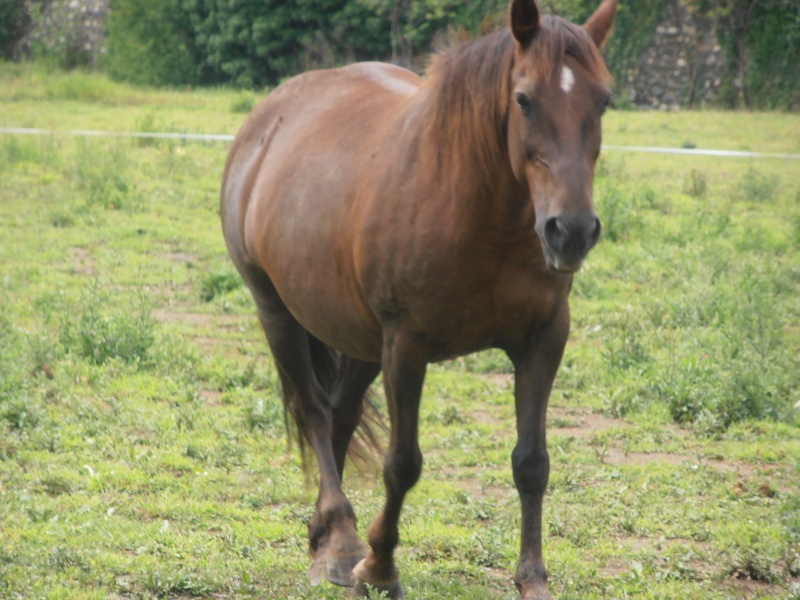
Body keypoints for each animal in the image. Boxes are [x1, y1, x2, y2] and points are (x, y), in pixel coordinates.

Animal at [219, 1, 620, 596]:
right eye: (523, 99)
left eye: (603, 100)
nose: (570, 231)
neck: (478, 209)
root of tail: (267, 118)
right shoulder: (407, 345)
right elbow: (402, 463)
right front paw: (380, 567)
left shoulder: (544, 339)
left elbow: (532, 462)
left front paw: (532, 577)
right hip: (278, 314)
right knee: (314, 410)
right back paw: (343, 543)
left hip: (358, 337)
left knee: (339, 414)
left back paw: (324, 538)